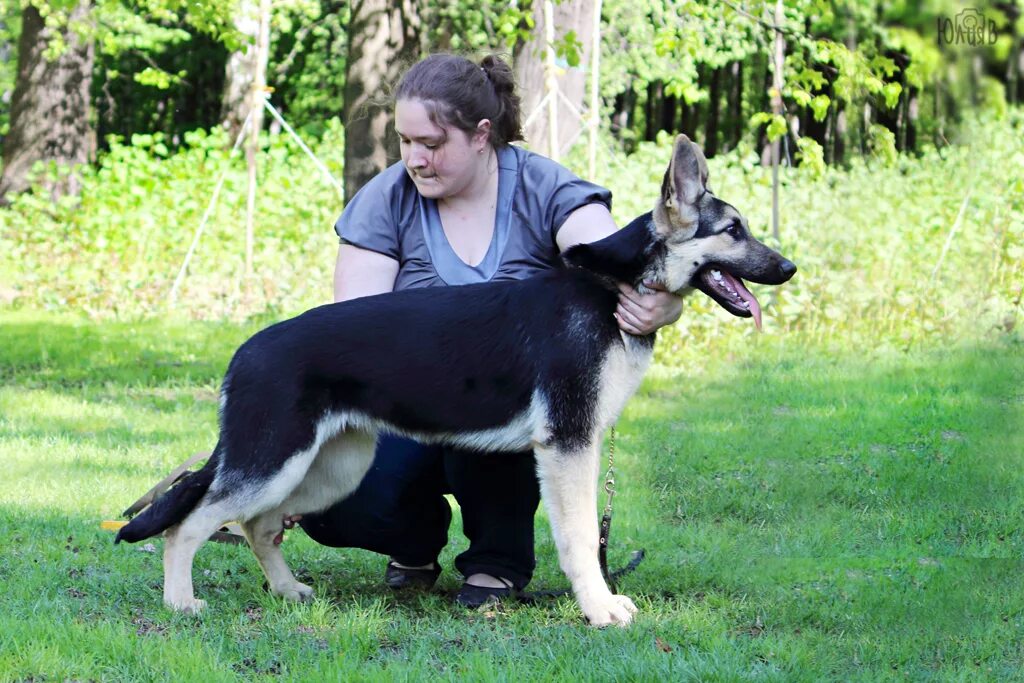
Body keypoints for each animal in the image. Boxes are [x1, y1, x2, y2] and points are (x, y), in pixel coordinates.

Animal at [116, 132, 794, 626]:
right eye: (733, 231)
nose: (789, 268)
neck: (613, 285)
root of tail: (244, 352)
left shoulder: (576, 446)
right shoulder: (569, 449)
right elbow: (579, 540)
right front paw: (600, 609)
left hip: (327, 471)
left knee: (257, 526)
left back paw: (287, 591)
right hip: (274, 465)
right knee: (190, 524)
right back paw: (181, 602)